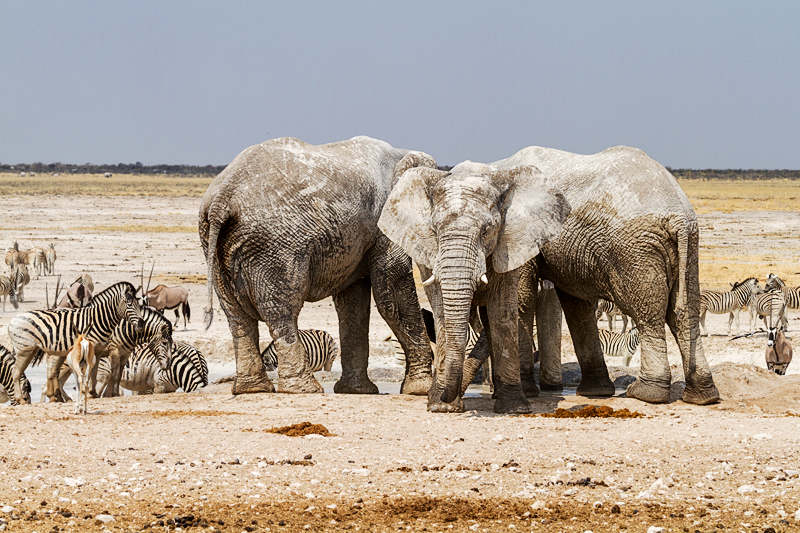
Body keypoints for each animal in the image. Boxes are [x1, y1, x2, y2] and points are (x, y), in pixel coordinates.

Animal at [6, 280, 142, 402]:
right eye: (129, 304)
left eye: (138, 303)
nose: (141, 323)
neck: (97, 320)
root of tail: (13, 319)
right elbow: (90, 372)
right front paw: (88, 393)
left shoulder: (98, 351)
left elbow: (94, 372)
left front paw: (93, 393)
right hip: (24, 350)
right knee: (16, 372)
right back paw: (21, 399)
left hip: (32, 350)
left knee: (45, 372)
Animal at [200, 137, 438, 394]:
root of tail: (221, 200)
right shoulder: (385, 221)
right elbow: (393, 296)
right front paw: (421, 390)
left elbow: (353, 302)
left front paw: (356, 391)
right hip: (275, 247)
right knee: (281, 311)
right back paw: (304, 389)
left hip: (214, 246)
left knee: (236, 316)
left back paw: (253, 390)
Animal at [380, 161, 572, 412]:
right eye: (434, 230)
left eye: (487, 230)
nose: (444, 397)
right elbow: (442, 309)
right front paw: (442, 407)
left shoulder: (507, 245)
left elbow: (501, 310)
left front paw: (514, 409)